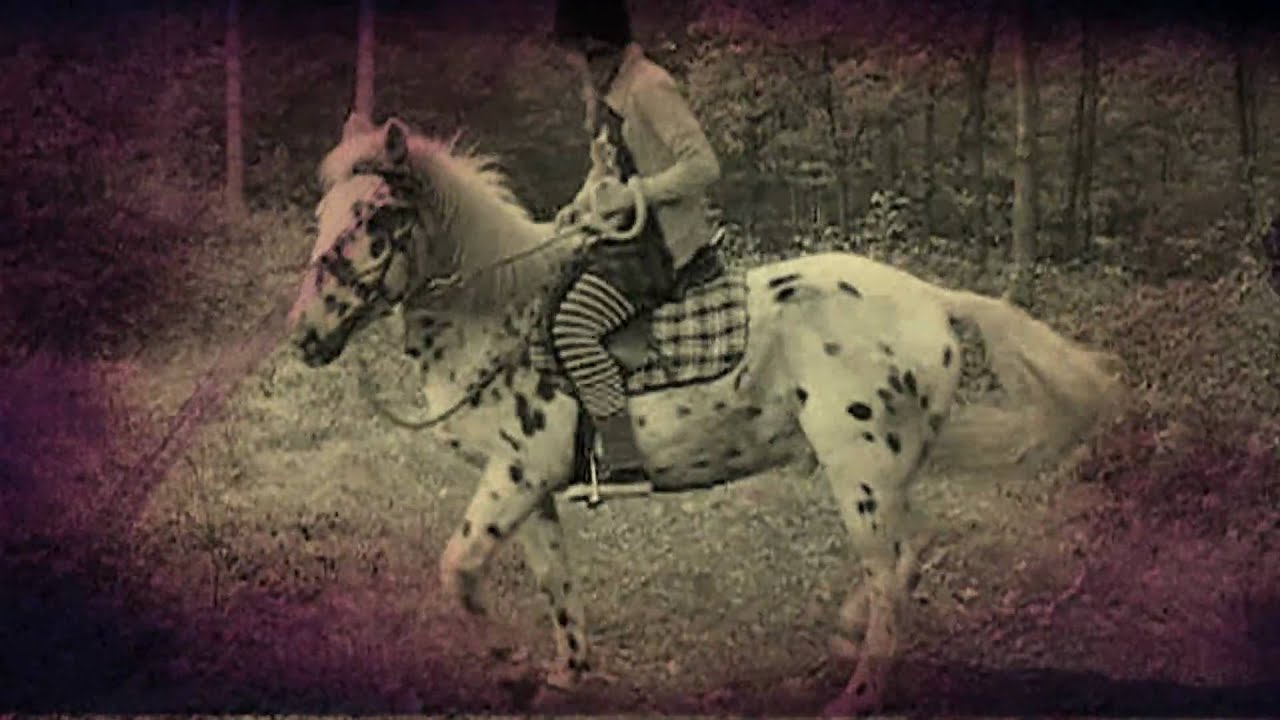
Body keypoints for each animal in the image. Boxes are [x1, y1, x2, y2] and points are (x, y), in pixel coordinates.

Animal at [285, 115, 1126, 716]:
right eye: (327, 215)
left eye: (372, 222)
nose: (304, 338)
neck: (499, 315)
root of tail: (935, 301)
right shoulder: (531, 490)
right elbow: (554, 581)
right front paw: (563, 673)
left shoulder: (517, 475)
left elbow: (457, 571)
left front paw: (513, 673)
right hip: (887, 475)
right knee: (911, 555)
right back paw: (845, 637)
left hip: (860, 473)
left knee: (891, 571)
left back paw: (856, 694)